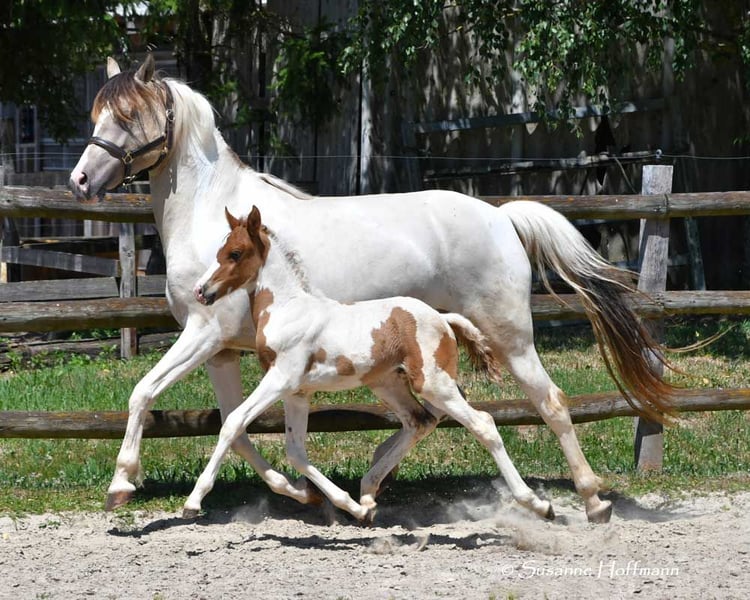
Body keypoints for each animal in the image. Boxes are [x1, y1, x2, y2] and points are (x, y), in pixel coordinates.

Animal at [183, 205, 555, 522]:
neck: (289, 309)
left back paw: (538, 504)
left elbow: (233, 422)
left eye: (235, 253)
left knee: (484, 424)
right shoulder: (297, 392)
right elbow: (296, 452)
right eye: (219, 252)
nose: (200, 291)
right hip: (388, 383)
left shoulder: (280, 379)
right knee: (418, 421)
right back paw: (367, 494)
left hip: (432, 383)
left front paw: (193, 501)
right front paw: (348, 506)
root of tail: (443, 319)